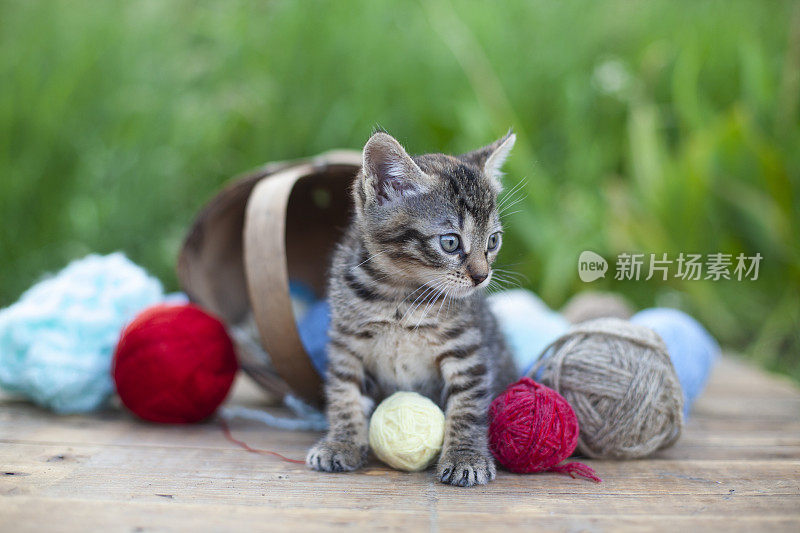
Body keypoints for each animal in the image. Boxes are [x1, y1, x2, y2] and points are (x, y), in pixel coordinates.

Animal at [306, 130, 520, 486]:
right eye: (450, 242)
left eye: (493, 241)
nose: (482, 276)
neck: (400, 296)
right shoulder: (346, 344)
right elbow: (343, 395)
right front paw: (340, 443)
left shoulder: (467, 349)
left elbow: (467, 406)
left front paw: (466, 458)